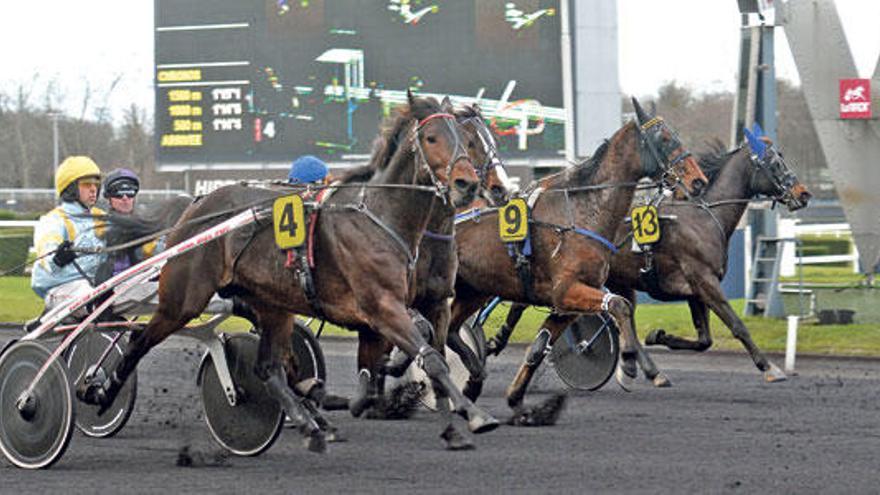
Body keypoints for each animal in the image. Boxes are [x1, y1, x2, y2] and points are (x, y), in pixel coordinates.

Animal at [77, 94, 502, 454]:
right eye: (432, 138)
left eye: (463, 140)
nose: (469, 184)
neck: (382, 218)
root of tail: (195, 208)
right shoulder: (383, 307)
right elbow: (430, 358)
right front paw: (475, 413)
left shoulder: (426, 304)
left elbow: (429, 357)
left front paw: (449, 425)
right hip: (183, 299)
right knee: (138, 341)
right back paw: (98, 391)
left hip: (270, 305)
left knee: (268, 367)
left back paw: (310, 424)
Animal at [446, 100, 708, 426]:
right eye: (664, 138)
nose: (698, 181)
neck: (581, 213)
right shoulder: (567, 290)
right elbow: (619, 305)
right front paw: (630, 363)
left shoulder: (566, 304)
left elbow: (538, 348)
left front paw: (518, 401)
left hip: (473, 291)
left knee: (449, 331)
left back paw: (470, 383)